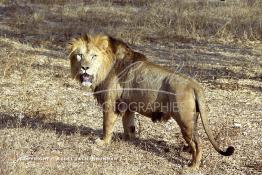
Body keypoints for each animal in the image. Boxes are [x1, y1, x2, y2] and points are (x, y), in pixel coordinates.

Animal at [67, 34, 233, 170]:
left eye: (94, 56)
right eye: (79, 55)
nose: (84, 68)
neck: (105, 67)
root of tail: (194, 85)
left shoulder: (110, 103)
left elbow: (107, 125)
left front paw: (103, 142)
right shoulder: (128, 105)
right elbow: (129, 126)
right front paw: (127, 140)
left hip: (185, 120)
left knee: (198, 144)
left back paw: (193, 166)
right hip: (192, 120)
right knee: (195, 140)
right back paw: (186, 150)